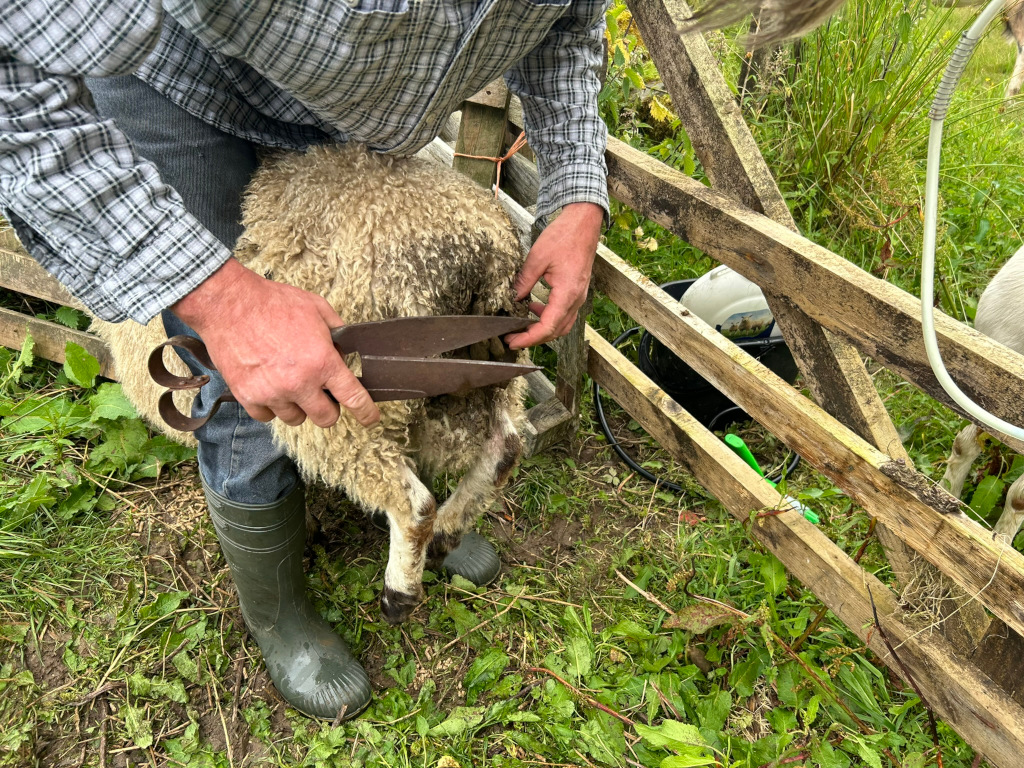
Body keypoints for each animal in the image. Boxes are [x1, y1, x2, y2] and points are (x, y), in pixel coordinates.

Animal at [90, 143, 531, 624]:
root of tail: (478, 251)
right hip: (489, 370)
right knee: (505, 448)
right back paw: (448, 535)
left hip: (340, 408)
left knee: (413, 504)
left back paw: (399, 592)